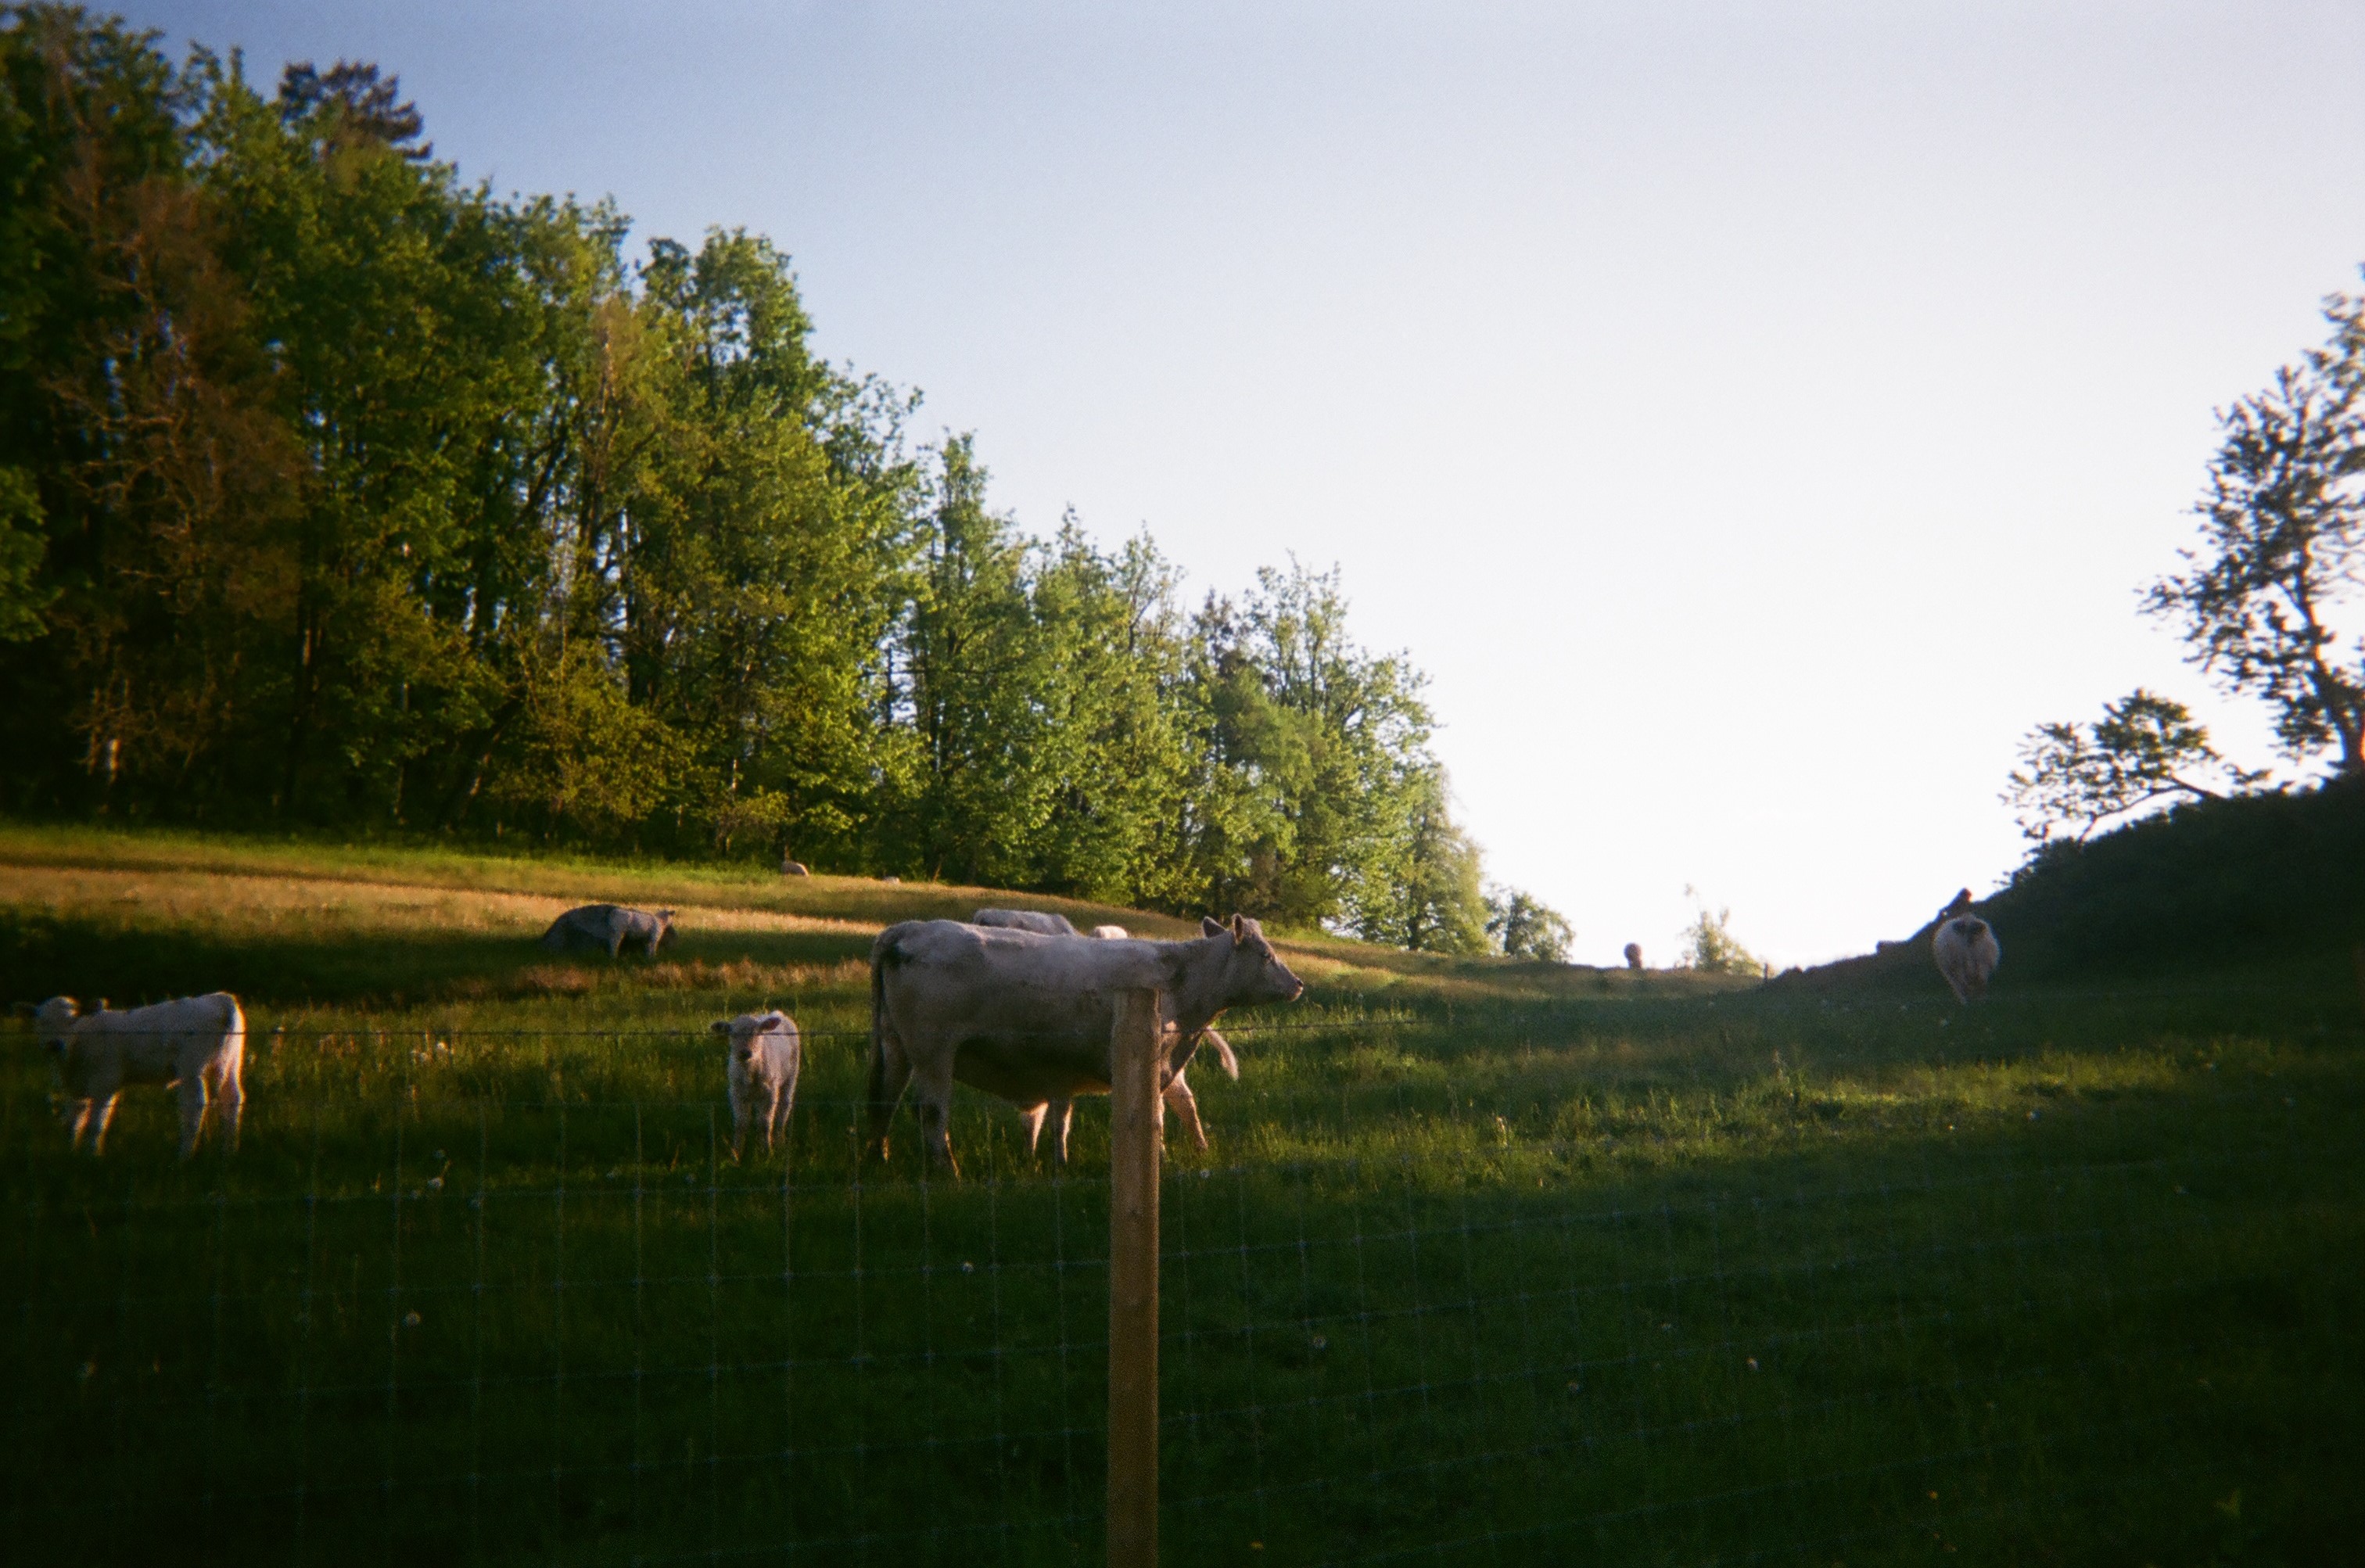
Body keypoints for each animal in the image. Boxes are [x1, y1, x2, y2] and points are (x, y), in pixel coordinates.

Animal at [13, 993, 246, 1154]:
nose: (54, 1044)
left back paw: (184, 1157)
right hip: (231, 1062)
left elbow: (95, 1125)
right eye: (42, 1022)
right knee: (231, 1099)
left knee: (194, 1106)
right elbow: (73, 1123)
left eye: (73, 1021)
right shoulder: (74, 1089)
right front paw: (71, 1154)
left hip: (191, 1067)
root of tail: (220, 998)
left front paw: (90, 1158)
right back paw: (228, 1153)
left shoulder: (105, 1083)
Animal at [539, 903, 676, 964]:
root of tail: (613, 912)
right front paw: (652, 958)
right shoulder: (654, 937)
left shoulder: (648, 939)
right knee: (614, 944)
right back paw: (614, 957)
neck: (661, 921)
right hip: (618, 932)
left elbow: (647, 948)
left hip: (612, 932)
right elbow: (652, 949)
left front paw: (649, 958)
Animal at [709, 1012, 804, 1158]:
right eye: (733, 1034)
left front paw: (767, 1152)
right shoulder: (736, 1094)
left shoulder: (770, 1094)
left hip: (790, 1079)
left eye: (757, 1033)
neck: (750, 1072)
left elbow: (765, 1124)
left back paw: (780, 1142)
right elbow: (740, 1124)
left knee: (783, 1111)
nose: (745, 1053)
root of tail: (777, 1013)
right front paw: (736, 1153)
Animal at [874, 908, 1315, 1178]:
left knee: (883, 1104)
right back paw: (948, 1173)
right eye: (1265, 954)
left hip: (894, 1047)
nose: (1297, 983)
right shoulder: (1149, 1064)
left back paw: (875, 1159)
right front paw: (1159, 1162)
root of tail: (908, 928)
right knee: (931, 1112)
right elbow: (1154, 1119)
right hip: (933, 1051)